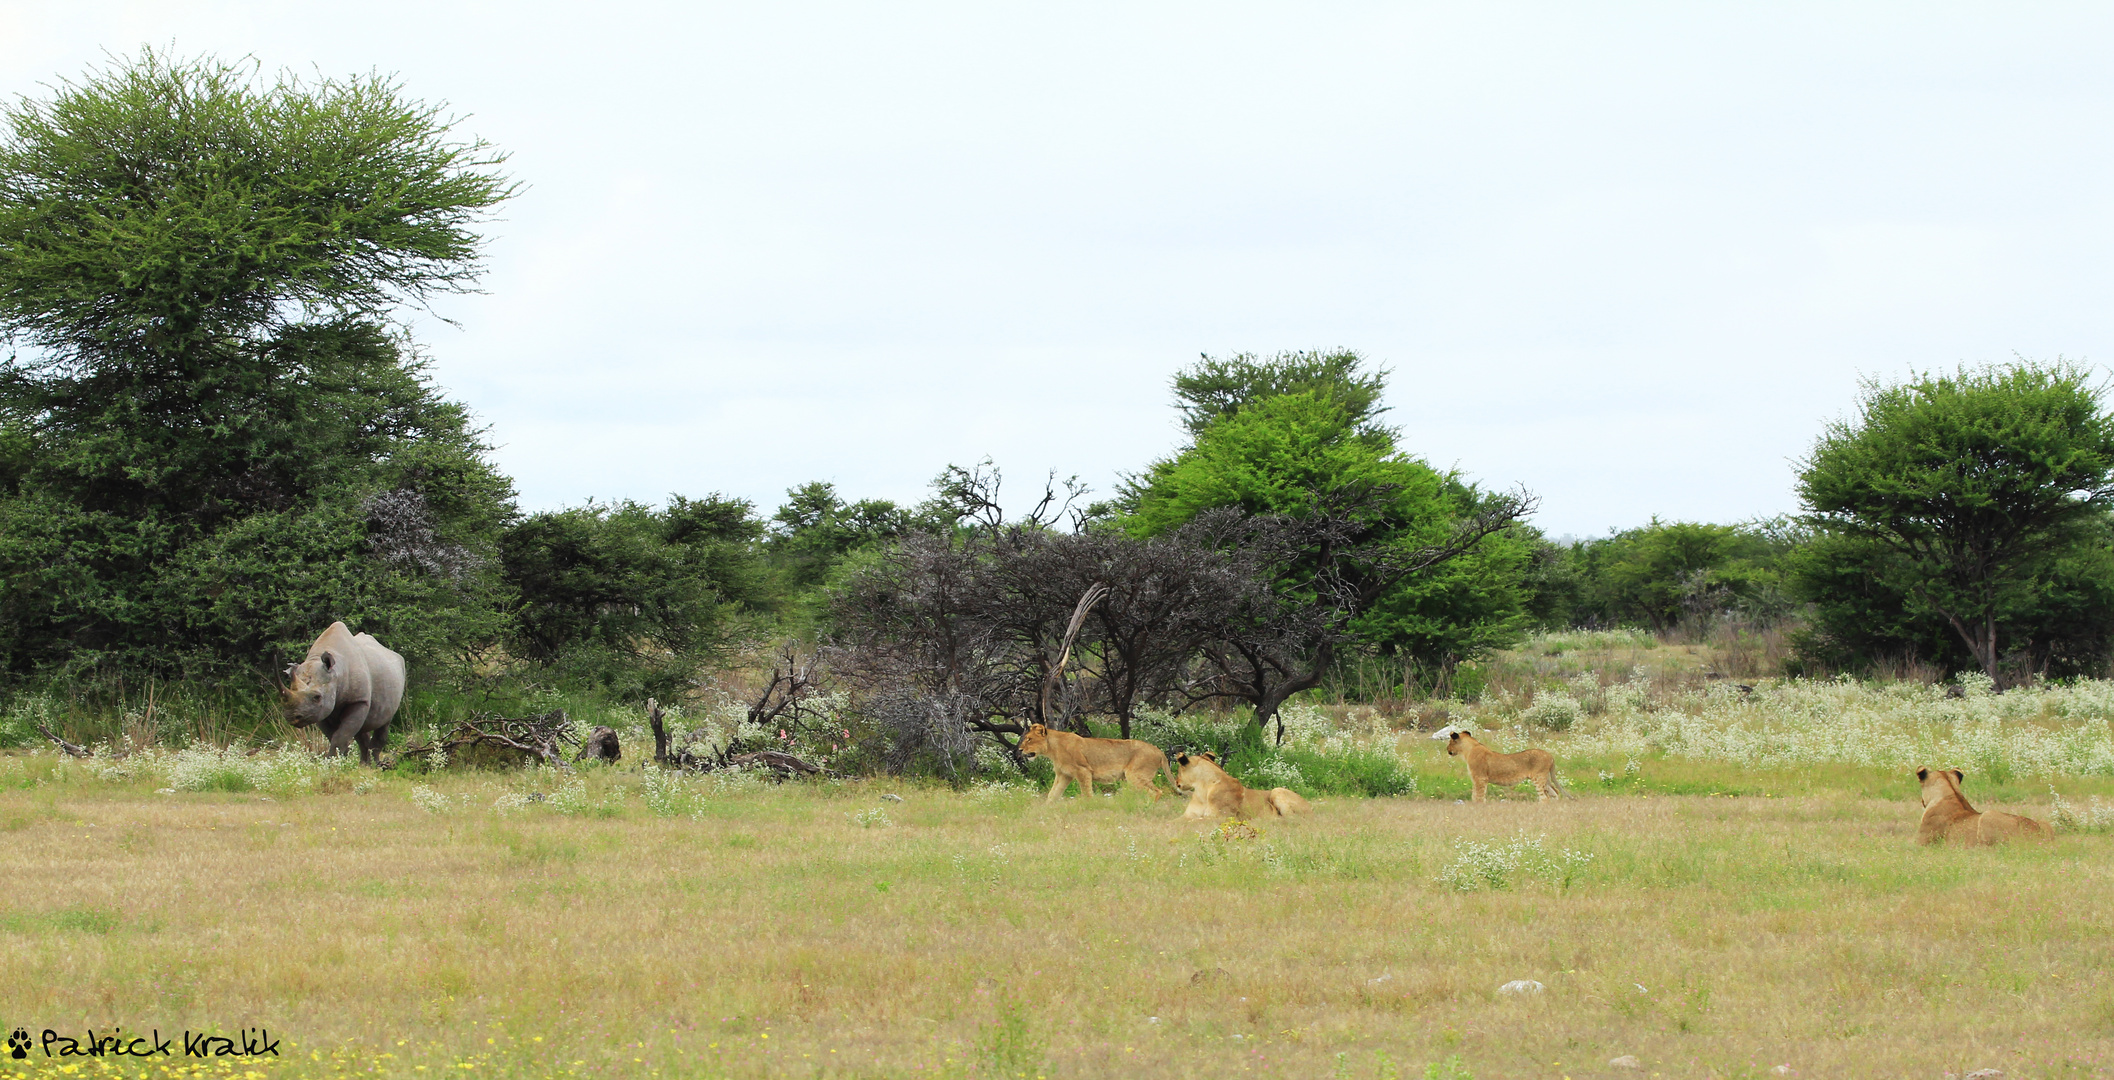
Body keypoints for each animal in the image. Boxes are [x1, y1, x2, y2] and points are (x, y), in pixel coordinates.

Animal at [1010, 727, 1175, 803]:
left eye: (1029, 739)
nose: (1019, 749)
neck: (1052, 749)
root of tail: (1158, 751)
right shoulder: (1064, 775)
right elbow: (1053, 794)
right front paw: (1046, 810)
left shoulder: (1083, 770)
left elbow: (1087, 793)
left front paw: (1090, 807)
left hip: (1135, 775)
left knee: (1156, 791)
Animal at [1437, 727, 1572, 803]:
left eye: (1450, 742)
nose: (1447, 749)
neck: (1469, 750)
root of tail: (1550, 755)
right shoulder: (1476, 779)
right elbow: (1475, 795)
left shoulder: (1480, 778)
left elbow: (1479, 796)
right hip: (1545, 778)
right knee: (1555, 793)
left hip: (1538, 778)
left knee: (1545, 798)